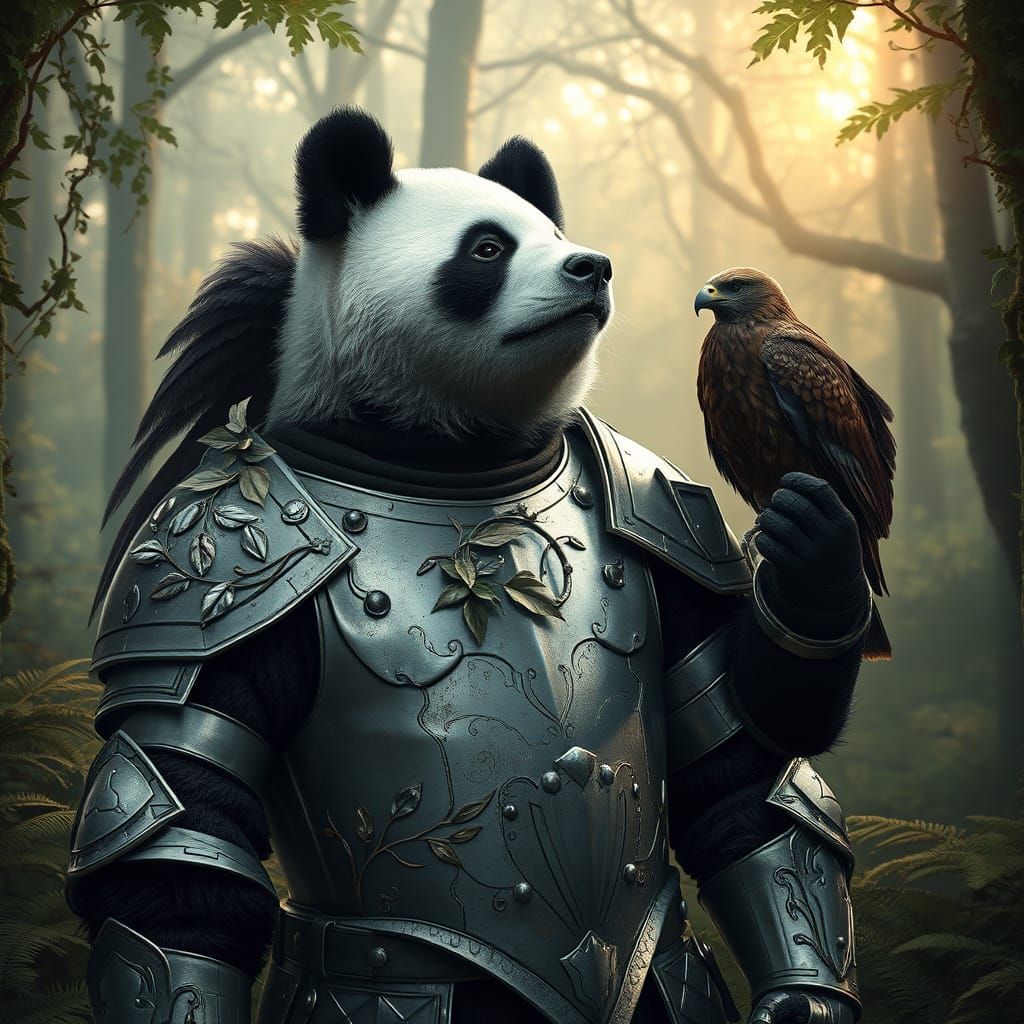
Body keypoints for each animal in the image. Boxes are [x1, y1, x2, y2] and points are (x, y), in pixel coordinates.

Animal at [69, 108, 867, 1024]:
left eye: (555, 234)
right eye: (487, 249)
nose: (592, 266)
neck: (456, 455)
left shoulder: (667, 524)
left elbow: (740, 760)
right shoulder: (214, 586)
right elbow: (174, 831)